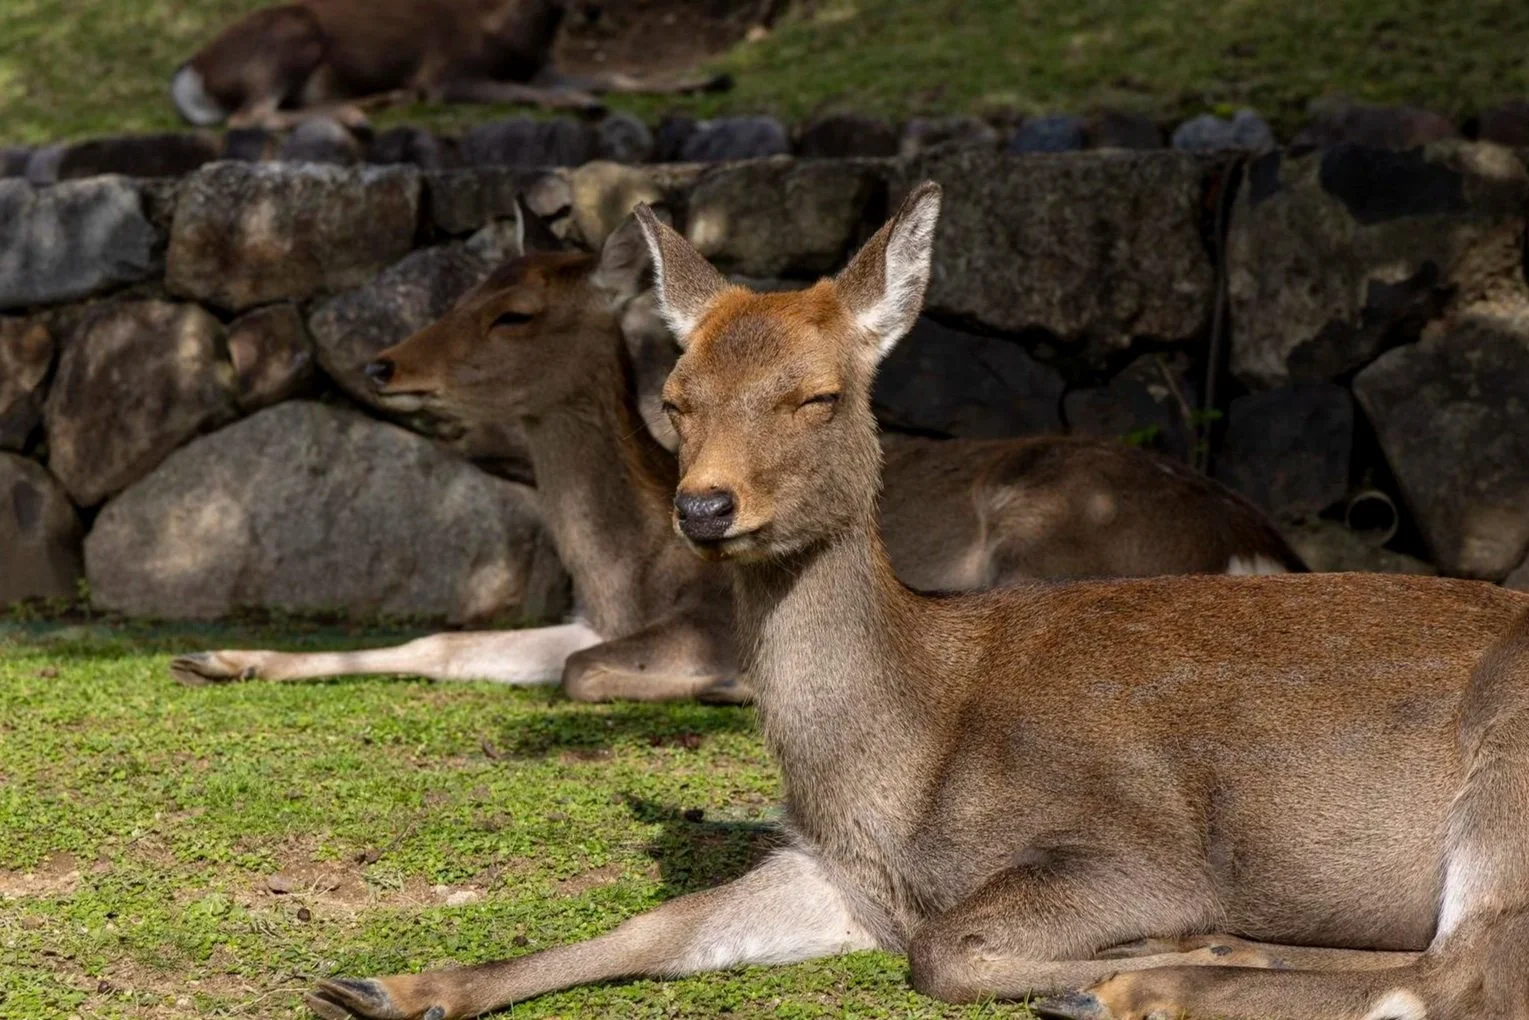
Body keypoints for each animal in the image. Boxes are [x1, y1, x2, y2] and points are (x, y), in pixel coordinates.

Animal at [171, 200, 1304, 699]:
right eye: (466, 288)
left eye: (515, 313)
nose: (382, 362)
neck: (625, 567)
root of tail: (1259, 545)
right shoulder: (588, 614)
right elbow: (447, 644)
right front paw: (220, 657)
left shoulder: (698, 619)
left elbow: (578, 672)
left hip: (1048, 539)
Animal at [304, 184, 1529, 1020]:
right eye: (678, 395)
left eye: (817, 395)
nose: (703, 508)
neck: (899, 764)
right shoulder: (827, 872)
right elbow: (657, 924)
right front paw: (390, 984)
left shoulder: (1136, 848)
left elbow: (938, 952)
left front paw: (1156, 957)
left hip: (1503, 789)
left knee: (1453, 976)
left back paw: (1134, 986)